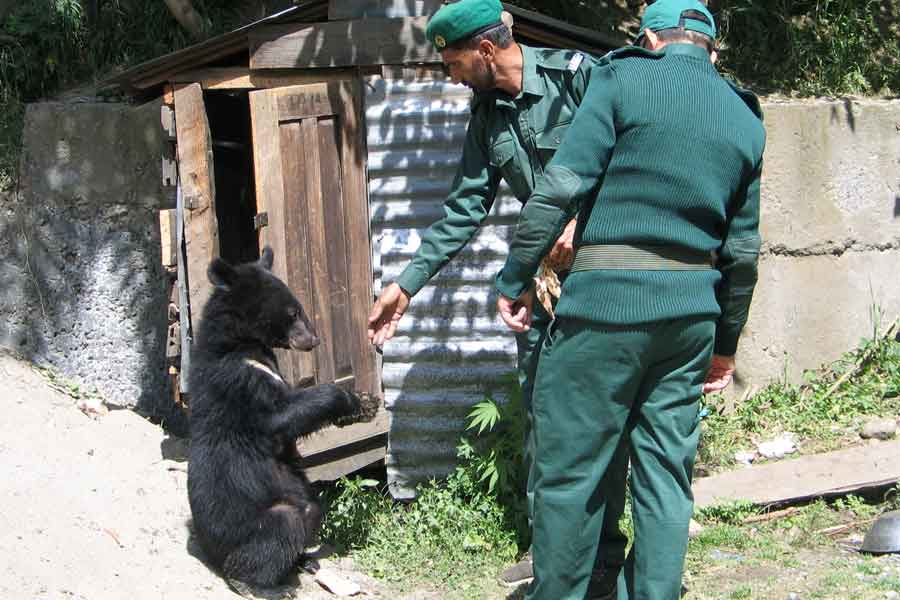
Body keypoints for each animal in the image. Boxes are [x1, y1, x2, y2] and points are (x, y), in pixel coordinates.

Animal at [186, 247, 376, 596]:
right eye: (293, 313)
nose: (314, 339)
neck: (241, 343)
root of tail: (211, 553)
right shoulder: (239, 380)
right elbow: (281, 417)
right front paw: (348, 398)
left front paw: (363, 406)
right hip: (251, 519)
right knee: (279, 530)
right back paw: (262, 584)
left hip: (297, 497)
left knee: (312, 511)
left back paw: (303, 560)